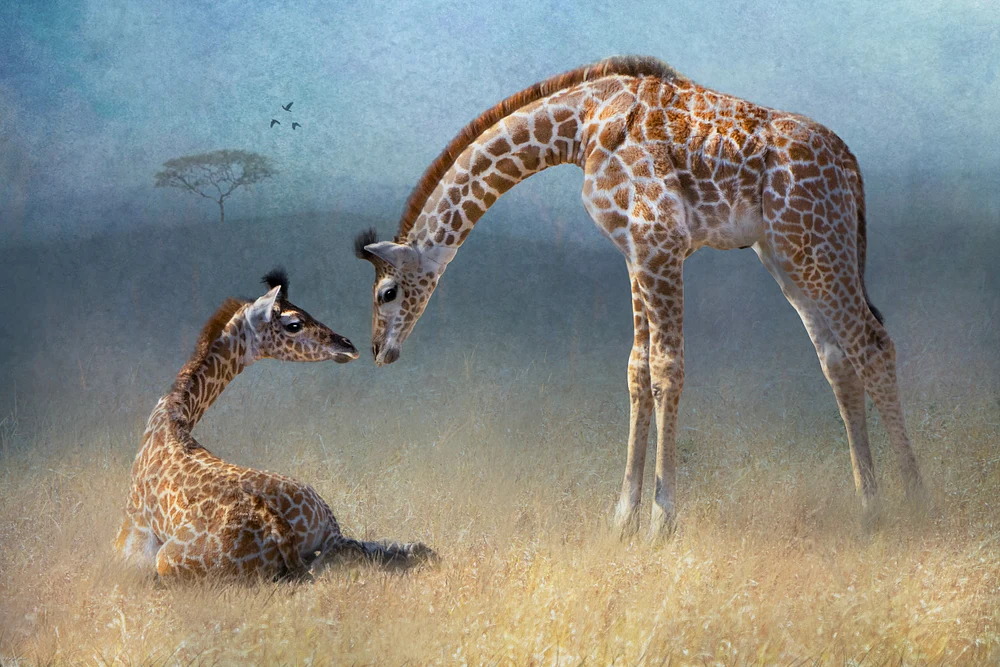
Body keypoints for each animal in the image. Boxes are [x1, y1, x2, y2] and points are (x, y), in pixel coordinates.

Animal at [114, 269, 435, 579]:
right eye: (294, 323)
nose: (348, 345)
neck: (173, 415)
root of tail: (275, 523)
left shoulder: (132, 529)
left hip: (169, 561)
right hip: (333, 530)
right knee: (385, 548)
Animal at [354, 56, 925, 539]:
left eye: (386, 292)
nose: (380, 351)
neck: (581, 126)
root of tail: (851, 165)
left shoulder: (660, 242)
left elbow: (667, 369)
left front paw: (661, 520)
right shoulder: (634, 252)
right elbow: (636, 369)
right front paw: (622, 516)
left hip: (813, 243)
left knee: (873, 344)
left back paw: (915, 501)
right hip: (785, 254)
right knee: (837, 358)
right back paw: (869, 507)